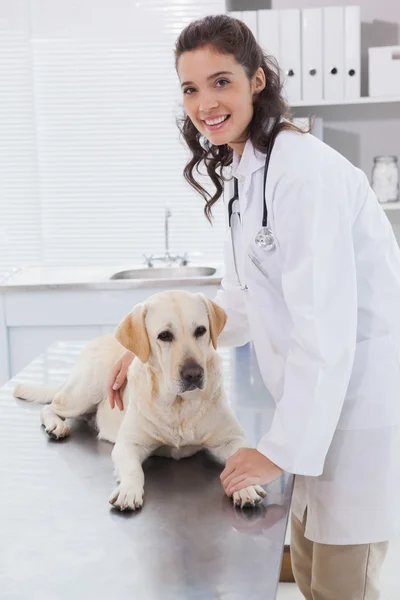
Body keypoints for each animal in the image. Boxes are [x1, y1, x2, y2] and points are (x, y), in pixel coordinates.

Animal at [14, 288, 266, 508]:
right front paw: (128, 491)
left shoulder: (232, 439)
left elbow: (242, 461)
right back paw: (56, 426)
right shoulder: (128, 444)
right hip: (84, 392)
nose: (194, 374)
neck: (178, 405)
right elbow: (134, 470)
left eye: (201, 330)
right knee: (51, 406)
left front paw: (246, 487)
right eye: (164, 336)